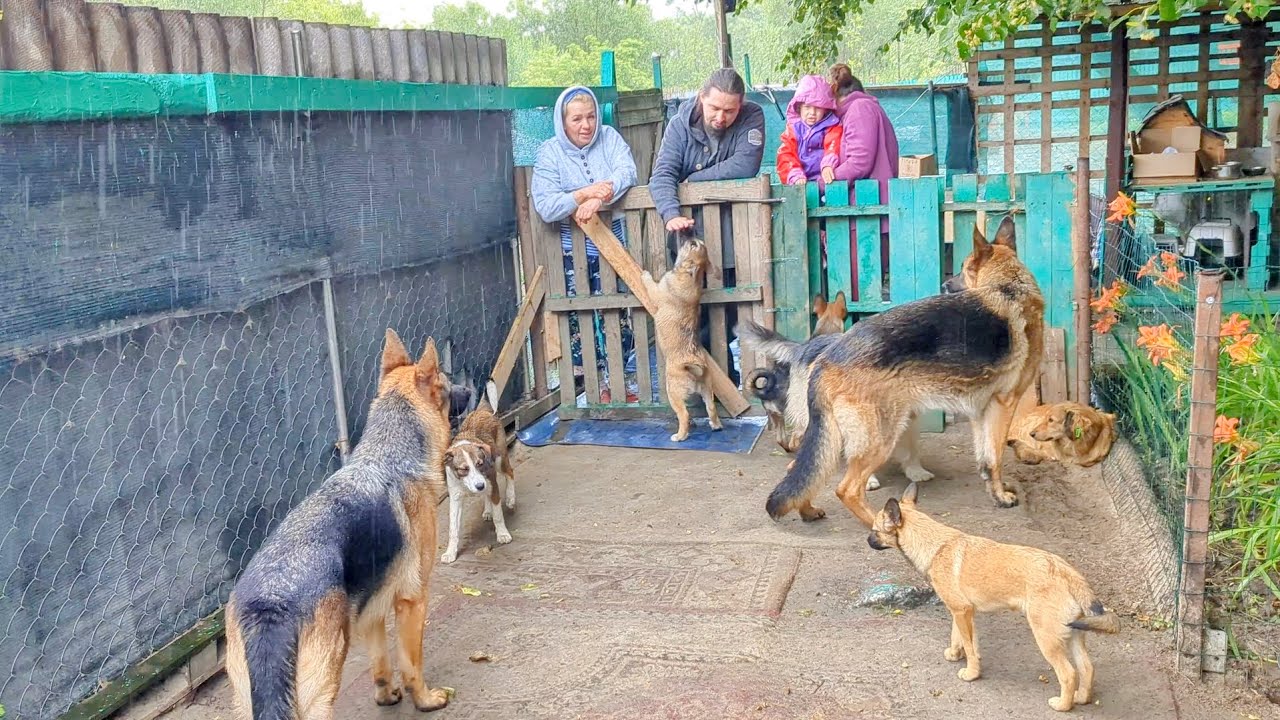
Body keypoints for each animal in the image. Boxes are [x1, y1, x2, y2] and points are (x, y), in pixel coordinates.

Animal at [442, 381, 517, 561]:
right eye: (463, 469)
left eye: (480, 463)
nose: (479, 486)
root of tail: (482, 410)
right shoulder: (455, 498)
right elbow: (453, 529)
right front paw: (451, 552)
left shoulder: (492, 485)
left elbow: (499, 515)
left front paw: (502, 534)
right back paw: (487, 510)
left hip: (500, 460)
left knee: (510, 473)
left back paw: (510, 498)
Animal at [640, 233, 721, 440]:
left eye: (693, 245)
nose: (689, 233)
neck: (690, 275)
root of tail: (694, 367)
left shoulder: (657, 291)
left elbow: (650, 284)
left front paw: (645, 274)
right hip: (707, 390)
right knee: (711, 409)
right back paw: (716, 426)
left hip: (673, 393)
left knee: (684, 414)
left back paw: (680, 436)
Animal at [757, 215, 1039, 525]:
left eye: (963, 269)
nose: (944, 284)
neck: (1008, 287)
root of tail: (826, 356)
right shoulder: (1004, 404)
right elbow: (997, 456)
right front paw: (1001, 497)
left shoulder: (982, 410)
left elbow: (986, 459)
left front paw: (993, 490)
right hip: (879, 437)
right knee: (847, 489)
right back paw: (881, 525)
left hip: (833, 438)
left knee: (800, 470)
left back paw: (807, 510)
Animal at [870, 479, 1121, 707]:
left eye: (875, 530)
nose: (867, 539)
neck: (936, 547)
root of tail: (1066, 571)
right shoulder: (962, 612)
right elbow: (962, 639)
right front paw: (956, 654)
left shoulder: (961, 611)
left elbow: (969, 646)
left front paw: (971, 673)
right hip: (1074, 636)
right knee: (1087, 668)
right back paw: (1081, 698)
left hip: (1046, 638)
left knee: (1069, 674)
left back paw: (1062, 705)